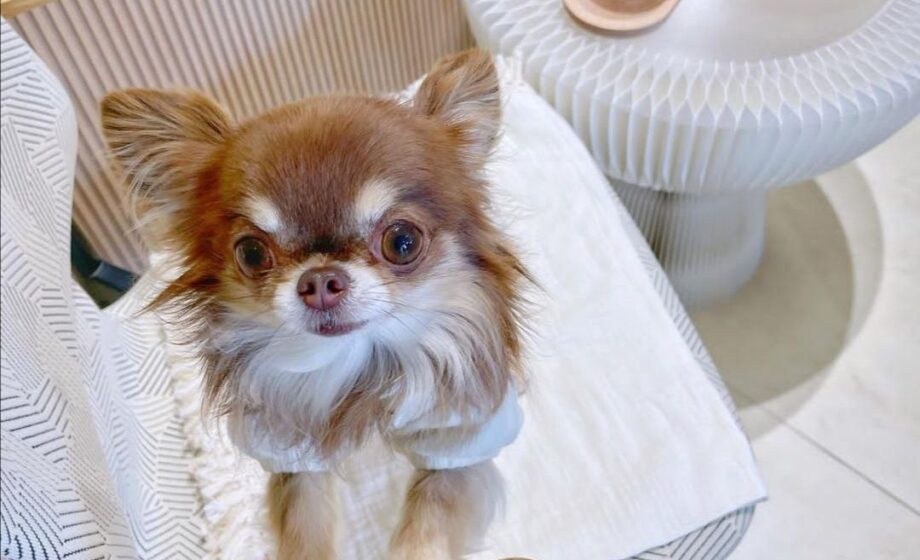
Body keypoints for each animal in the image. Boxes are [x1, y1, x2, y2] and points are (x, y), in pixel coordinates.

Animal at [102, 49, 527, 560]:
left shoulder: (460, 443)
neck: (355, 367)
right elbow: (304, 529)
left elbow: (427, 528)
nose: (321, 280)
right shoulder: (288, 454)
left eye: (402, 242)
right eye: (251, 253)